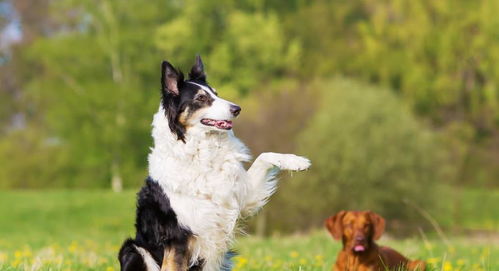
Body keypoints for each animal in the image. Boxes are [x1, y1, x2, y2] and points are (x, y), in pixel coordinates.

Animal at [118, 56, 310, 270]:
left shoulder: (242, 196)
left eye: (216, 94)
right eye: (201, 98)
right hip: (132, 248)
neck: (202, 151)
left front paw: (296, 160)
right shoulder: (178, 238)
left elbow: (264, 156)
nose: (237, 109)